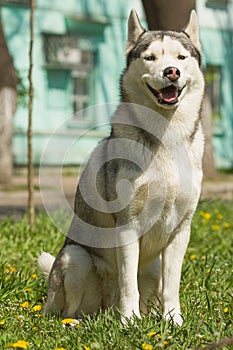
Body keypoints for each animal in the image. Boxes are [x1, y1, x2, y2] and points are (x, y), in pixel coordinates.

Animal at [39, 9, 205, 326]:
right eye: (150, 58)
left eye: (181, 57)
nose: (171, 72)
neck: (165, 137)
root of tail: (104, 309)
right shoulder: (128, 226)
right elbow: (128, 282)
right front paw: (129, 322)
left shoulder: (181, 230)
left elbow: (172, 285)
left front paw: (174, 321)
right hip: (75, 258)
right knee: (71, 308)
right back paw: (80, 322)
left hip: (152, 268)